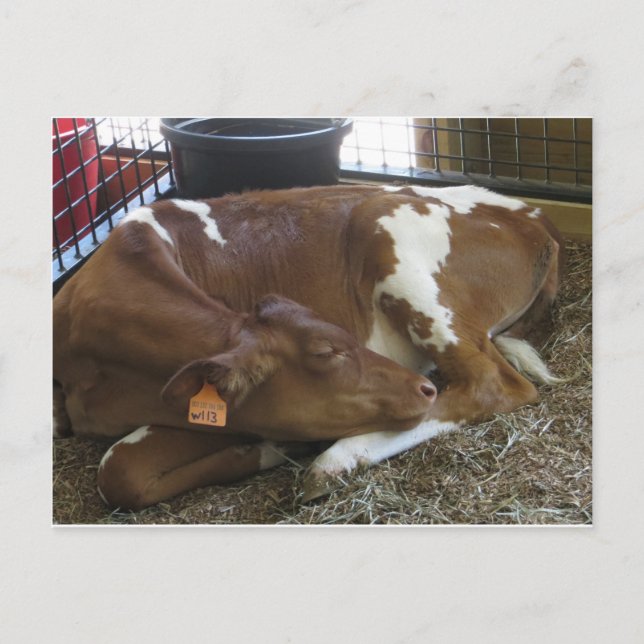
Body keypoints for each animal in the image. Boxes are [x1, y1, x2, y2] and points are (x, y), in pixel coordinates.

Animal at [53, 183, 563, 510]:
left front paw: (274, 447)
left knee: (491, 384)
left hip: (396, 244)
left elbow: (119, 466)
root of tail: (536, 219)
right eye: (326, 352)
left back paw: (335, 460)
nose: (420, 387)